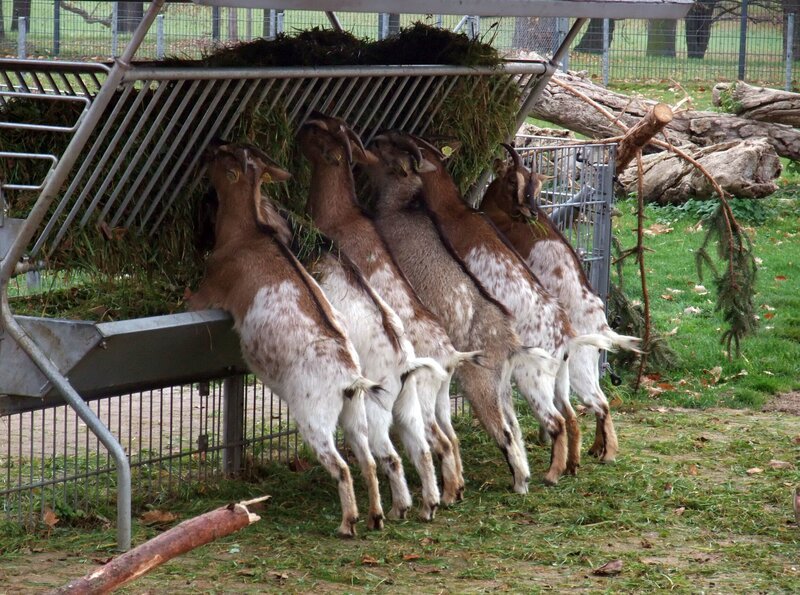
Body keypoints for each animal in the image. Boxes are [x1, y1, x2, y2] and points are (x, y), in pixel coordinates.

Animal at [188, 142, 383, 537]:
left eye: (221, 155)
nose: (208, 148)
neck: (248, 233)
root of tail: (349, 377)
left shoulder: (213, 285)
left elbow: (193, 299)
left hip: (314, 418)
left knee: (341, 466)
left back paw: (347, 523)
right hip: (354, 414)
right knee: (367, 460)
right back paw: (375, 517)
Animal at [297, 113, 481, 506]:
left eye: (321, 133)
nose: (302, 124)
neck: (342, 213)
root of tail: (450, 355)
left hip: (416, 401)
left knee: (436, 440)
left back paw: (437, 494)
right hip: (438, 399)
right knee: (450, 436)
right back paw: (454, 489)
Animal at [361, 135, 559, 493]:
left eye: (390, 154)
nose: (372, 140)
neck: (403, 207)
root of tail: (511, 345)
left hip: (480, 384)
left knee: (505, 431)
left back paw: (518, 483)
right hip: (501, 387)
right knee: (515, 426)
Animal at [481, 145, 642, 461]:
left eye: (534, 187)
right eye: (513, 180)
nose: (530, 211)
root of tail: (600, 324)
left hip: (577, 366)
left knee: (598, 403)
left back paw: (600, 452)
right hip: (587, 365)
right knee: (600, 400)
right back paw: (594, 448)